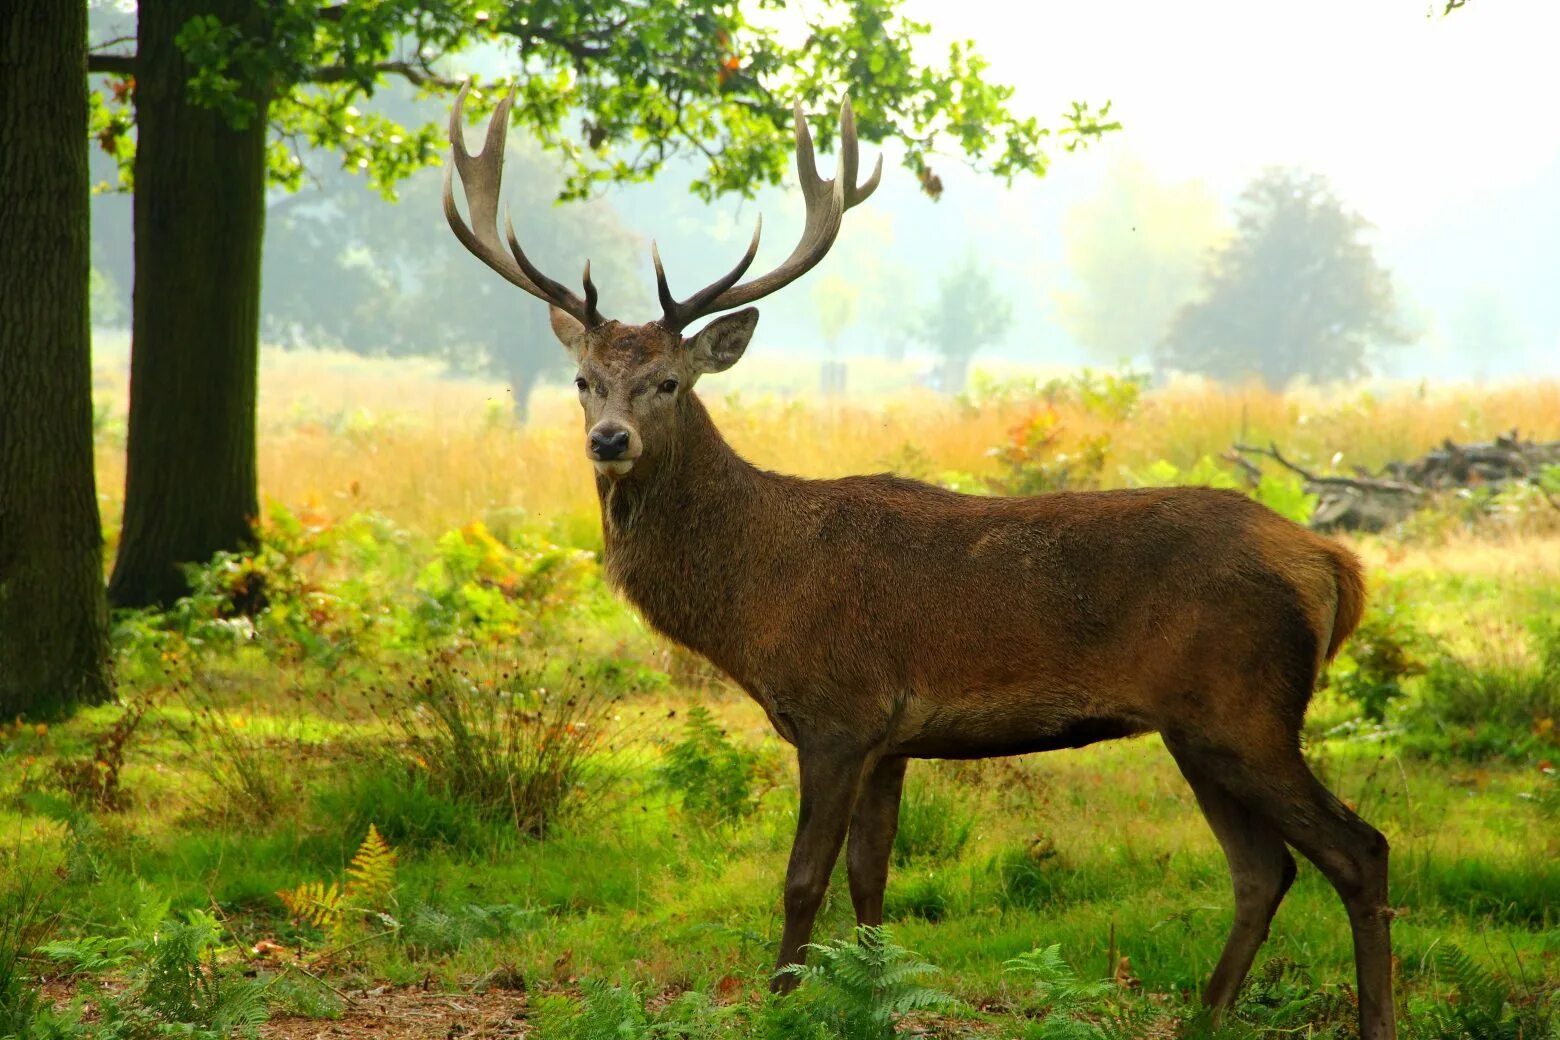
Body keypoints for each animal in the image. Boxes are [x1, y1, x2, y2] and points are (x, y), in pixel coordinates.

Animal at [443, 83, 1404, 1040]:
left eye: (669, 383)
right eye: (583, 381)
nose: (609, 439)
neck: (754, 594)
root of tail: (1331, 563)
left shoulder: (836, 713)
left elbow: (803, 881)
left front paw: (781, 1005)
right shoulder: (889, 738)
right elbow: (871, 880)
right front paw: (873, 1000)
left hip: (1246, 708)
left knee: (1359, 848)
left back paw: (1370, 1018)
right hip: (1198, 727)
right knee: (1264, 869)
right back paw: (1206, 1017)